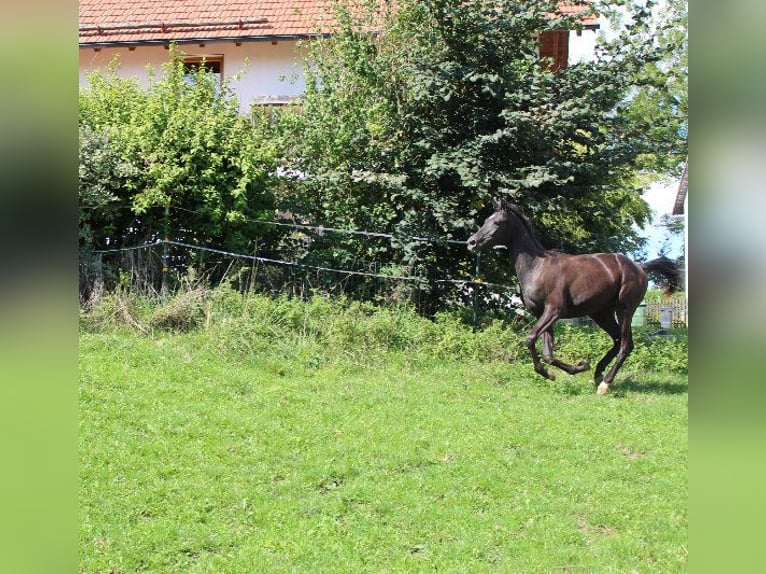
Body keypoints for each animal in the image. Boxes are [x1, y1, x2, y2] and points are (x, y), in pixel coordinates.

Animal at [464, 199, 680, 396]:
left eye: (497, 222)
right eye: (486, 220)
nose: (471, 243)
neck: (536, 268)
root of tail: (640, 267)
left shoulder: (554, 311)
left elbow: (530, 339)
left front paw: (561, 371)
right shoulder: (542, 314)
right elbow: (548, 353)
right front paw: (573, 368)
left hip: (625, 308)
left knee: (626, 345)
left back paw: (605, 384)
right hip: (601, 313)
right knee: (618, 339)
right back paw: (597, 374)